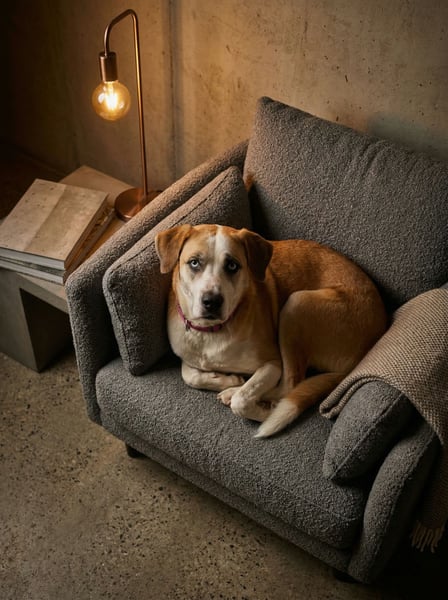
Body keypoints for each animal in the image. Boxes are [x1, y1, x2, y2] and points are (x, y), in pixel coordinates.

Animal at [155, 224, 387, 438]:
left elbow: (243, 399)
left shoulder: (272, 363)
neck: (211, 332)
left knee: (290, 385)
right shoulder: (188, 353)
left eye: (232, 265)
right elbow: (189, 375)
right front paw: (224, 379)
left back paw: (246, 398)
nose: (211, 301)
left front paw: (252, 402)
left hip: (297, 303)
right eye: (194, 262)